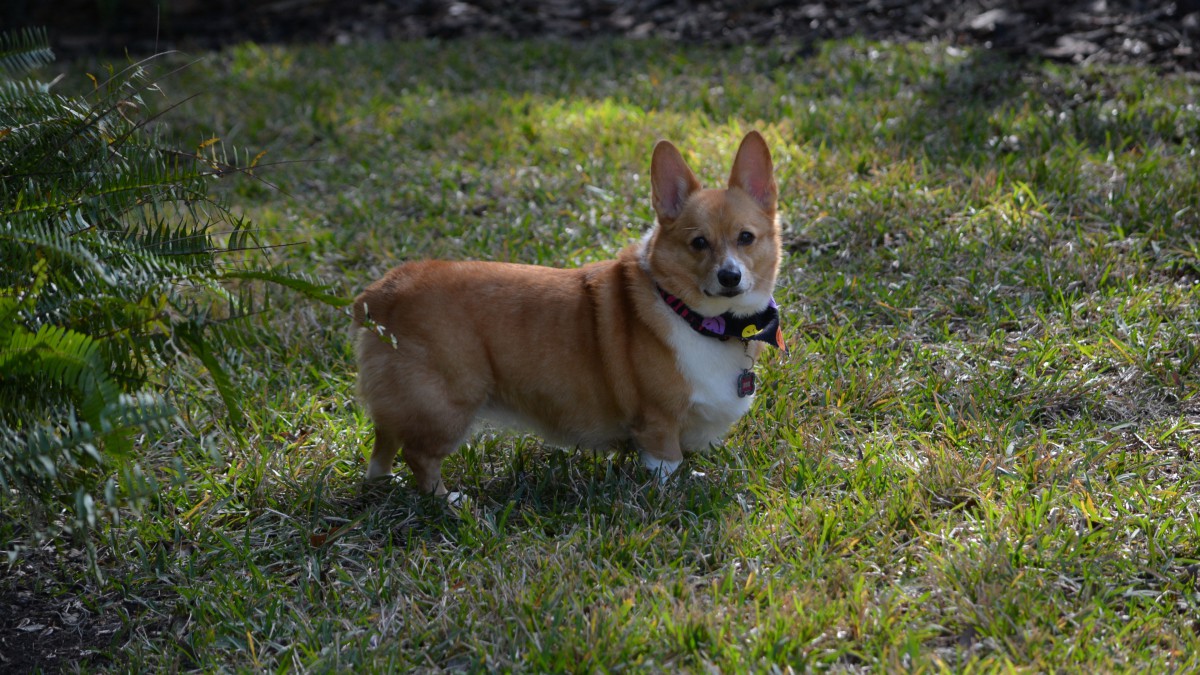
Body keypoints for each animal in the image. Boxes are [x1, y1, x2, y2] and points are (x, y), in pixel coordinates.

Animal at [352, 128, 787, 492]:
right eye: (698, 243)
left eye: (746, 237)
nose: (730, 276)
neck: (697, 318)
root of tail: (383, 292)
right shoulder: (657, 423)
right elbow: (667, 465)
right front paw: (673, 493)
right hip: (448, 403)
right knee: (419, 456)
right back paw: (449, 501)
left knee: (384, 440)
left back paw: (383, 481)